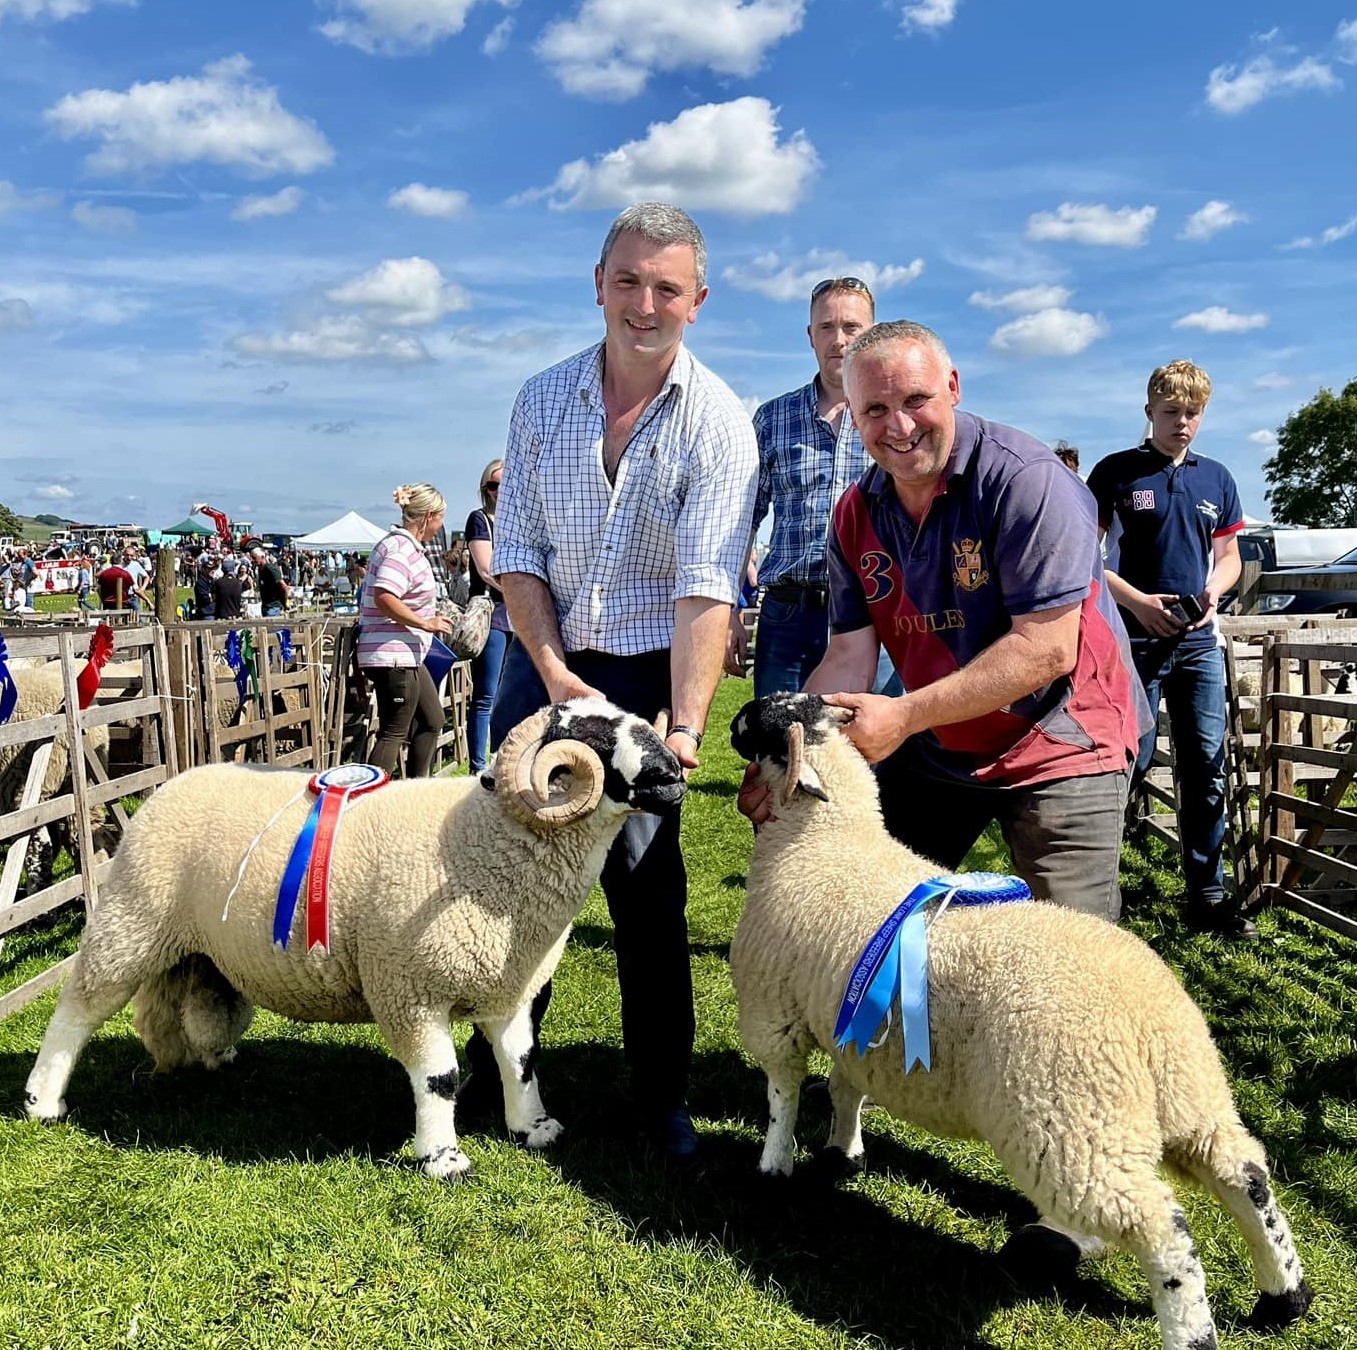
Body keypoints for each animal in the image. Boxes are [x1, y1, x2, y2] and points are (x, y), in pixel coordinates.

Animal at [29, 700, 689, 1177]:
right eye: (597, 737)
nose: (674, 773)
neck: (486, 840)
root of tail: (170, 783)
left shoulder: (512, 986)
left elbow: (521, 1062)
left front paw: (534, 1128)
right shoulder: (408, 988)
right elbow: (439, 1077)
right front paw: (442, 1158)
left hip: (195, 947)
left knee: (191, 1003)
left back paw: (208, 1058)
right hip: (133, 918)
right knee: (78, 1008)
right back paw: (44, 1102)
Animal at [732, 694, 1313, 1350]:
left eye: (765, 721)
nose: (733, 720)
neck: (822, 841)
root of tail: (1147, 1021)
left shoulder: (774, 1010)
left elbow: (781, 1095)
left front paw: (772, 1168)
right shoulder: (852, 1020)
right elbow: (845, 1088)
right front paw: (843, 1152)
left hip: (1070, 1124)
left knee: (1163, 1230)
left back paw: (1190, 1330)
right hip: (1192, 1097)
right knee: (1247, 1175)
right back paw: (1283, 1297)